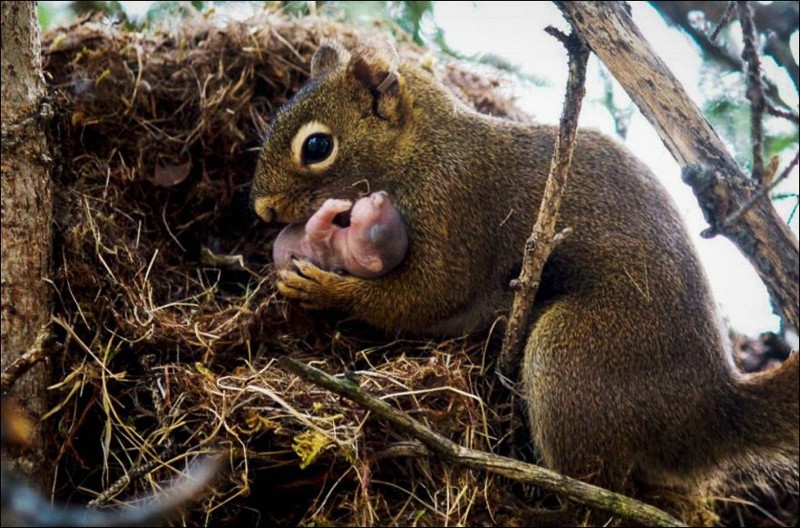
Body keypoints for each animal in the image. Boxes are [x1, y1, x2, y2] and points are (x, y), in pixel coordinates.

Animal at [276, 191, 412, 280]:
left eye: (376, 231)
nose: (382, 195)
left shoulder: (323, 246)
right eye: (397, 213)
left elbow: (313, 225)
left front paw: (336, 204)